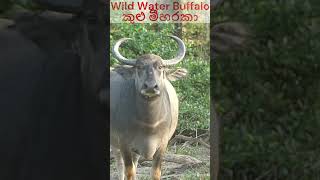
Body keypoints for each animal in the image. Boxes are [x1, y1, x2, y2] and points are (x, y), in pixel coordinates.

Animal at [111, 35, 189, 179]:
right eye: (139, 67)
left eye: (161, 67)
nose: (151, 87)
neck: (149, 123)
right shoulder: (124, 143)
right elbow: (129, 172)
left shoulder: (162, 145)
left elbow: (155, 173)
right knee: (120, 165)